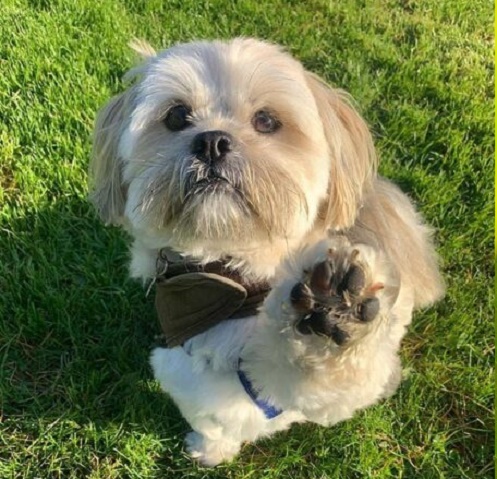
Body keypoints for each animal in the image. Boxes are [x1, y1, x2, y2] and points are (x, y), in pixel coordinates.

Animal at [89, 39, 442, 466]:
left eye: (267, 121)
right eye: (176, 116)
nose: (212, 141)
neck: (233, 277)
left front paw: (333, 311)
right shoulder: (190, 363)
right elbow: (213, 413)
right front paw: (211, 448)